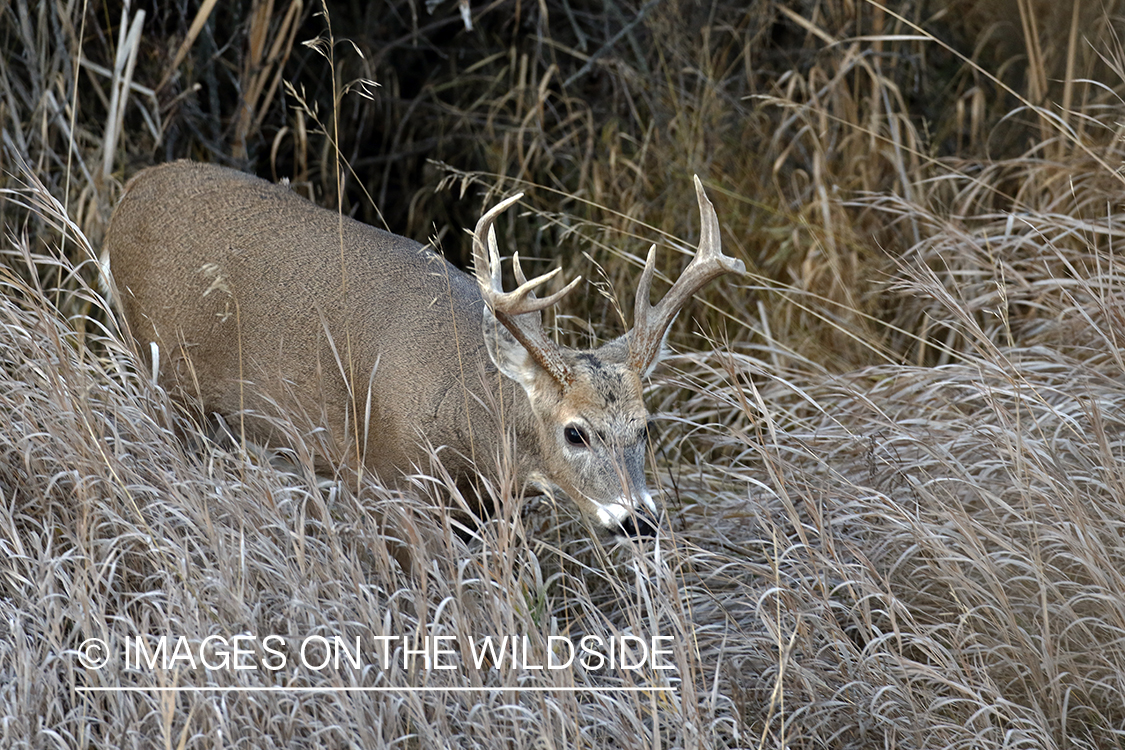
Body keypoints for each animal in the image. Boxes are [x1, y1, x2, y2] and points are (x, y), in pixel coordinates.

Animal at [101, 161, 742, 539]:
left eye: (645, 427)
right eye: (575, 432)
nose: (638, 519)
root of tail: (130, 191)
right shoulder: (388, 481)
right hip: (158, 374)